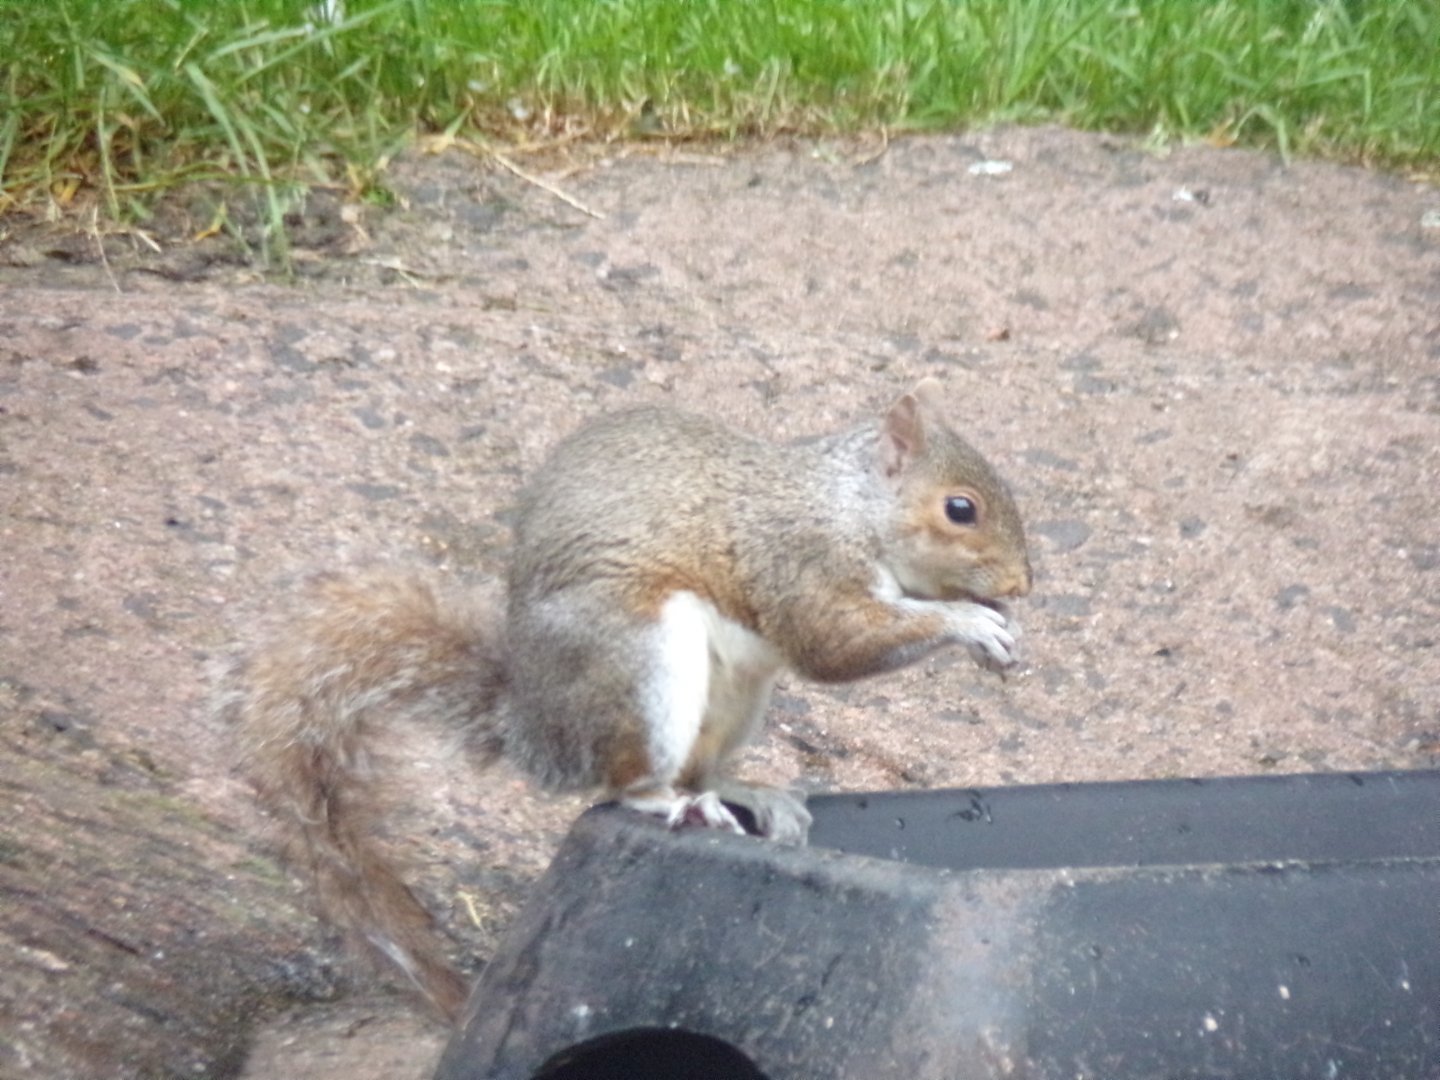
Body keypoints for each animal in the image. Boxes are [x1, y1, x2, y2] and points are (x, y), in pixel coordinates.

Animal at [218, 377, 1032, 1021]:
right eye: (961, 509)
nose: (1023, 585)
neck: (850, 506)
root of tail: (538, 731)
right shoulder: (799, 560)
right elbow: (833, 643)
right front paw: (968, 623)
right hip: (641, 663)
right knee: (622, 785)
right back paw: (669, 804)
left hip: (737, 698)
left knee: (702, 768)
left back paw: (743, 793)